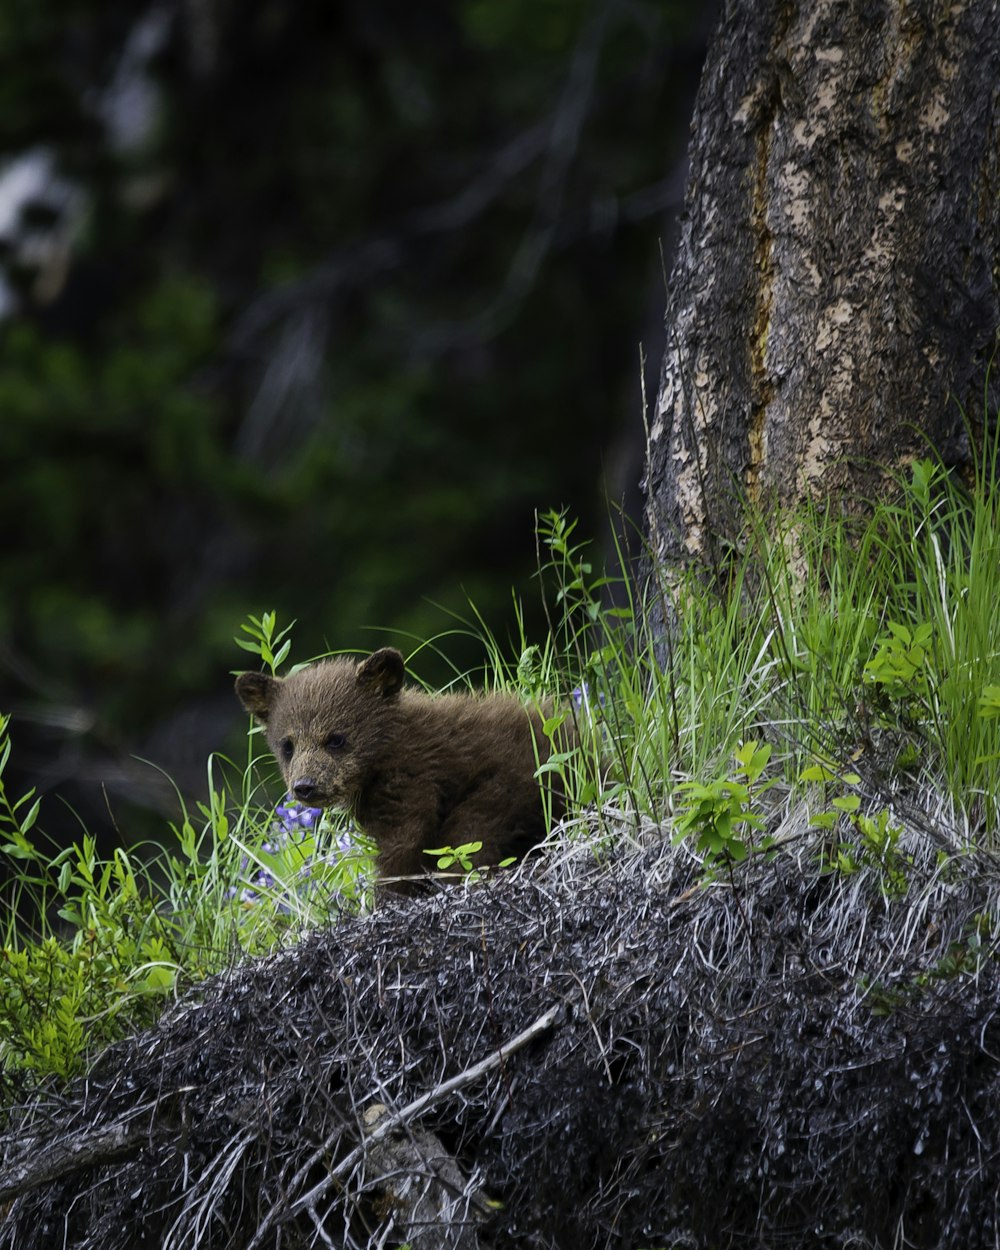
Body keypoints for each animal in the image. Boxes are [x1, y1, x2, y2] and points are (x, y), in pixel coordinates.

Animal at [232, 650, 562, 895]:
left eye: (335, 738)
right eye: (287, 745)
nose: (305, 786)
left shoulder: (412, 778)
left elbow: (405, 843)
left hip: (509, 786)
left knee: (471, 837)